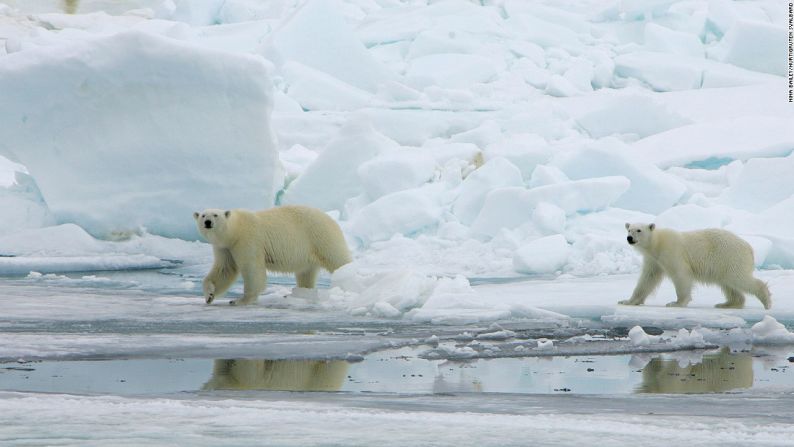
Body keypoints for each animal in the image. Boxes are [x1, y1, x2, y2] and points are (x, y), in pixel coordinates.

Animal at [192, 206, 350, 304]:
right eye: (203, 215)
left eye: (215, 215)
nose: (208, 222)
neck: (235, 230)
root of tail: (331, 219)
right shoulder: (225, 248)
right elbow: (224, 270)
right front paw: (209, 295)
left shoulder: (248, 240)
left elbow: (252, 268)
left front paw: (240, 300)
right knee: (306, 273)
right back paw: (300, 293)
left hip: (320, 236)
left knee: (338, 260)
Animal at [620, 224, 768, 312]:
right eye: (629, 229)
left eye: (639, 230)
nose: (629, 238)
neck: (657, 243)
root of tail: (748, 248)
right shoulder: (653, 260)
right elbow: (647, 279)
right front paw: (627, 301)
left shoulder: (671, 252)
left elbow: (681, 275)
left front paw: (676, 303)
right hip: (724, 265)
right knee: (728, 284)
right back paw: (727, 304)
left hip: (730, 257)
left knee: (739, 279)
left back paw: (766, 301)